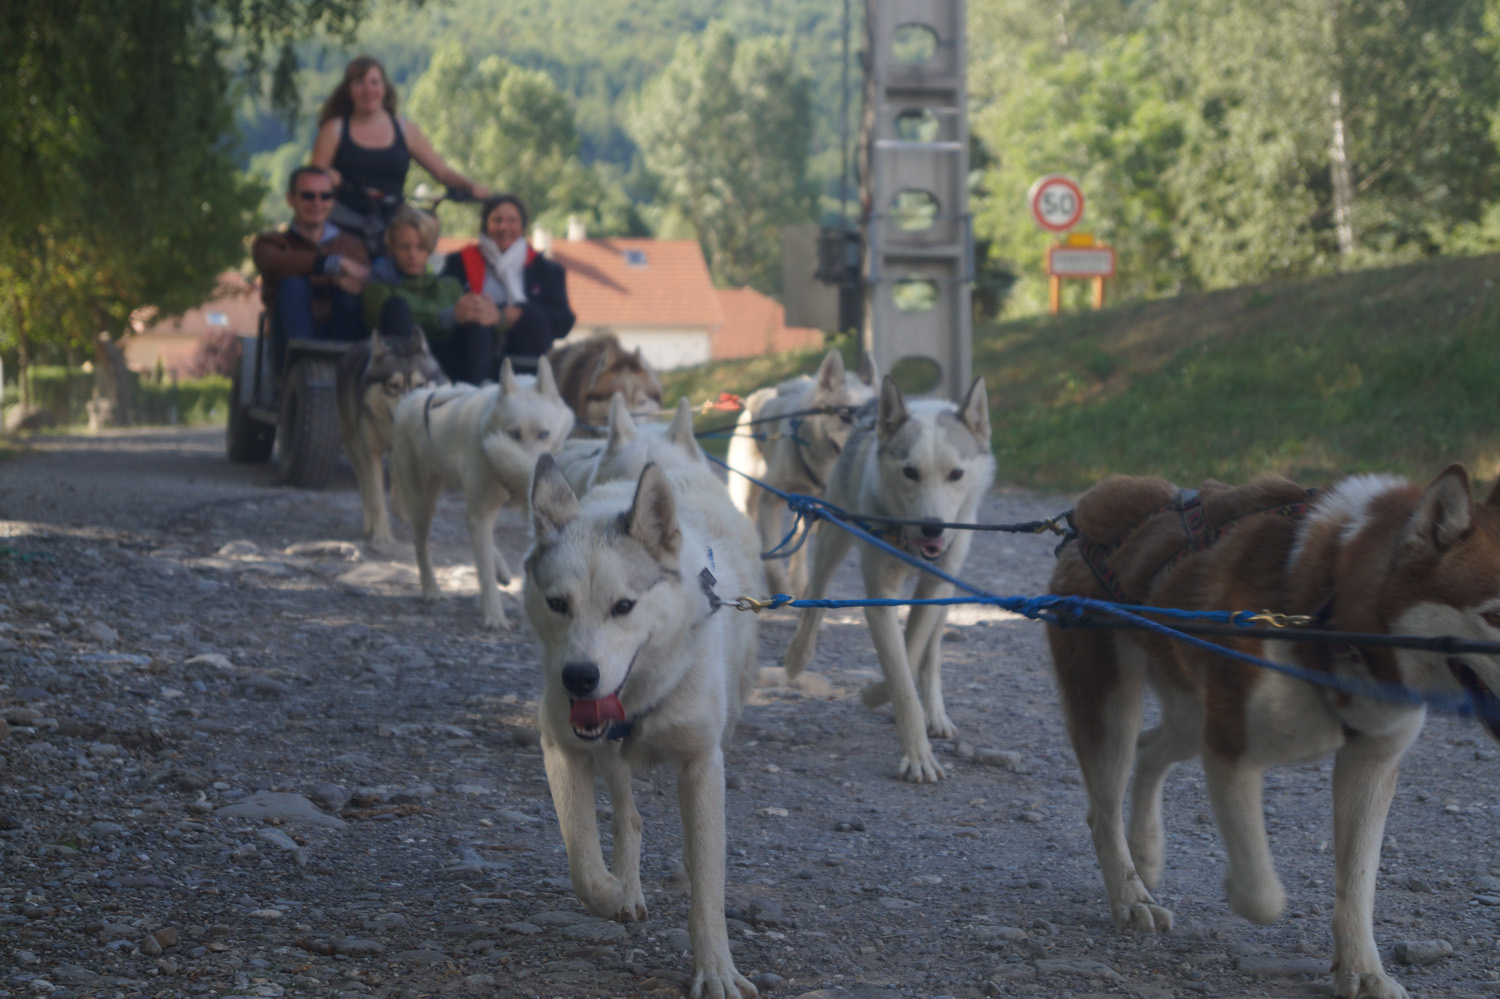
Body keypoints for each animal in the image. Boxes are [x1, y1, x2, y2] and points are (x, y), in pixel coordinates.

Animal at [387, 354, 573, 627]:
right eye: (513, 433)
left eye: (544, 434)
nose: (531, 473)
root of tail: (410, 399)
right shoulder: (482, 513)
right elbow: (483, 572)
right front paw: (494, 616)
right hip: (423, 505)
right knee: (422, 544)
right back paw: (430, 589)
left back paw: (501, 570)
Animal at [528, 456, 762, 996]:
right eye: (557, 604)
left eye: (624, 606)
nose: (579, 676)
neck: (644, 699)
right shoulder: (561, 747)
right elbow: (584, 862)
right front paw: (614, 894)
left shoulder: (702, 762)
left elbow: (709, 883)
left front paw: (716, 971)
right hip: (611, 758)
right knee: (628, 818)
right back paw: (628, 887)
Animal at [726, 348, 876, 591]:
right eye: (844, 416)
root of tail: (752, 401)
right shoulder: (769, 501)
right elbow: (772, 563)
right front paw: (781, 590)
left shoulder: (823, 513)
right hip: (745, 494)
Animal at [780, 373, 990, 780]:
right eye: (910, 472)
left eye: (956, 474)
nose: (933, 528)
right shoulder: (879, 597)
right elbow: (901, 676)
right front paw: (917, 754)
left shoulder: (936, 585)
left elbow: (913, 652)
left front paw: (881, 696)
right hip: (834, 536)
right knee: (816, 597)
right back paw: (797, 657)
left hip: (947, 586)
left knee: (932, 651)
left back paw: (936, 713)